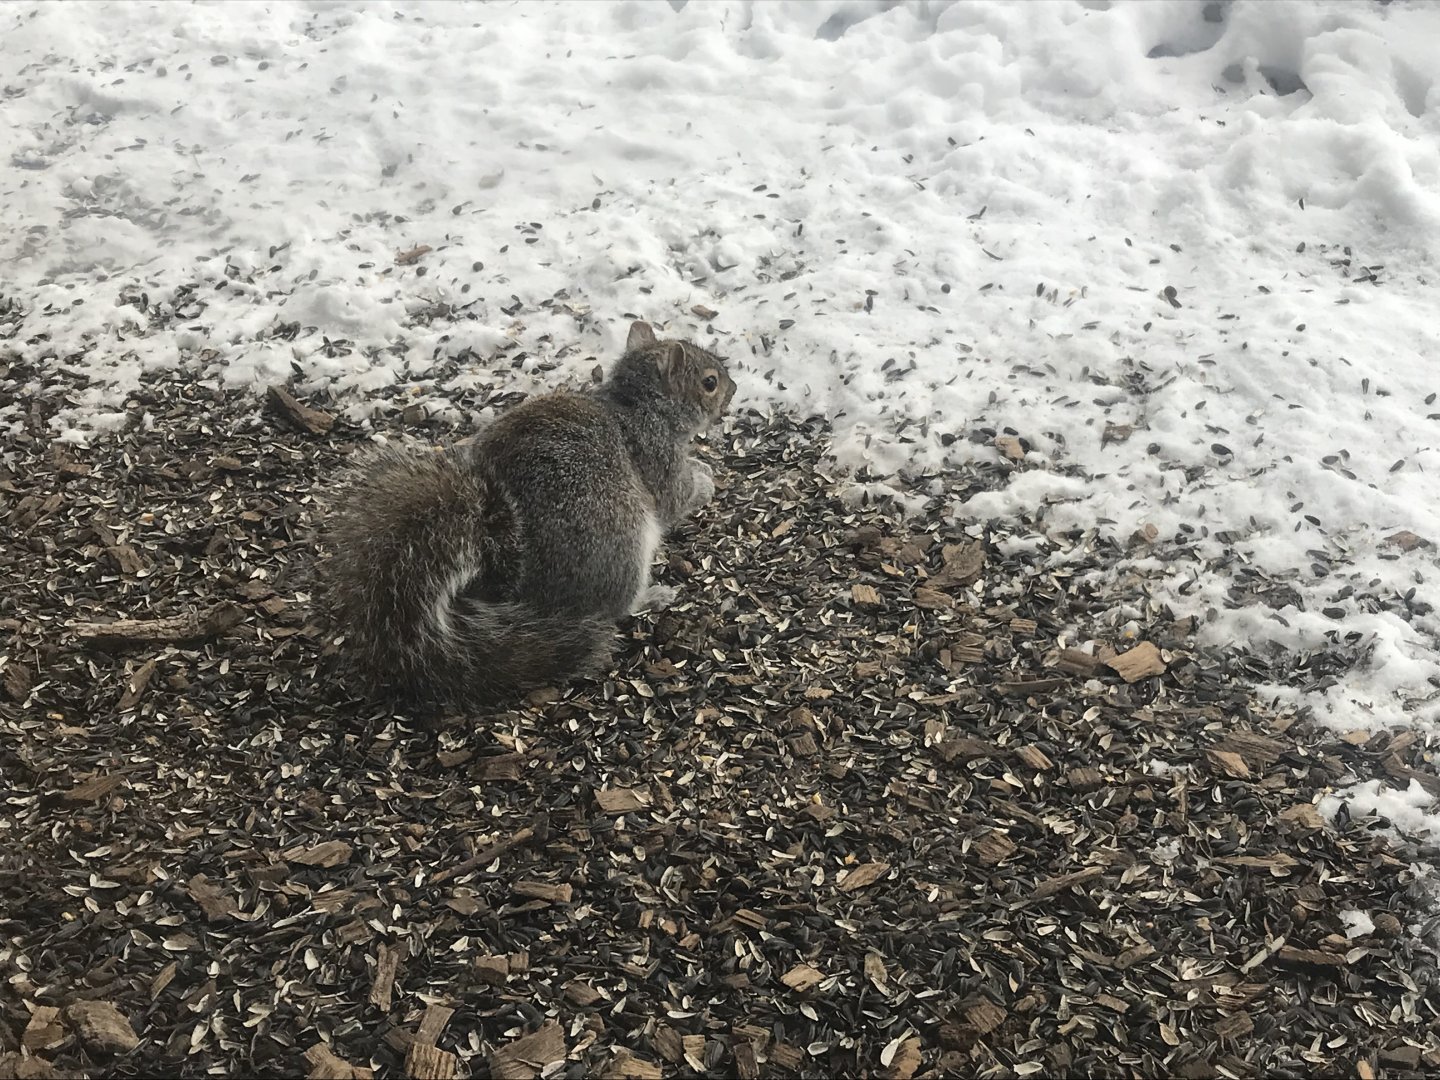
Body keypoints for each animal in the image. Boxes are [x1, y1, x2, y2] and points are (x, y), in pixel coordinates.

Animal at [317, 320, 736, 705]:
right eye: (709, 382)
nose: (733, 390)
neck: (638, 405)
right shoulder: (655, 453)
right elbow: (675, 497)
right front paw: (705, 480)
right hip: (621, 540)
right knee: (615, 607)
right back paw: (653, 596)